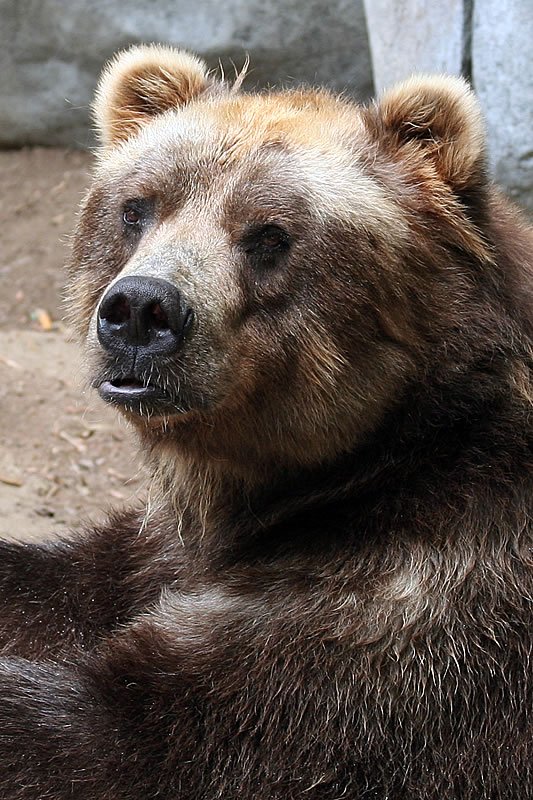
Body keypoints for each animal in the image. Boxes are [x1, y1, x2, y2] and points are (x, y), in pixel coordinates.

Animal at [0, 43, 531, 799]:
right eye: (138, 207)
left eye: (270, 234)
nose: (140, 310)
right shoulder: (153, 553)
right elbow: (63, 583)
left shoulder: (418, 621)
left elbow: (138, 737)